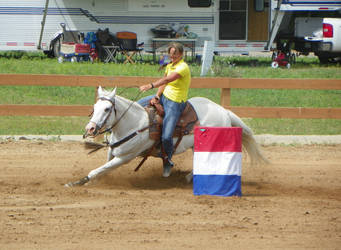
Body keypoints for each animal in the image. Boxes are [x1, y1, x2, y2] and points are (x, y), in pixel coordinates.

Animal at [64, 87, 266, 187]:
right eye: (94, 107)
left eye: (107, 109)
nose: (90, 128)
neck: (134, 124)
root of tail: (223, 111)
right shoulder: (113, 152)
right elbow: (102, 168)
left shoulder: (125, 157)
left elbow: (97, 170)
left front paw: (78, 182)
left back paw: (189, 178)